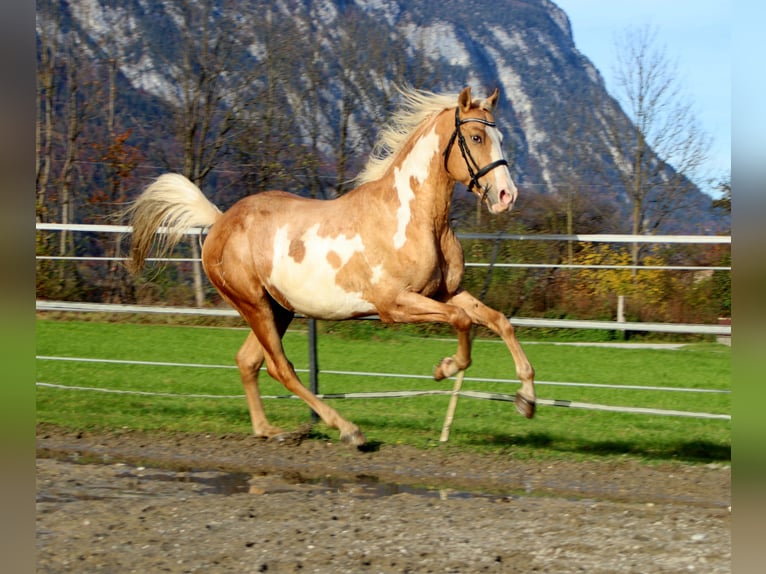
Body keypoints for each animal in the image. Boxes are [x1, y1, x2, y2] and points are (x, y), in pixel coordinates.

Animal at [126, 86, 536, 446]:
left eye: (500, 137)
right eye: (476, 136)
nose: (506, 196)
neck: (411, 218)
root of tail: (219, 221)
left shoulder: (445, 292)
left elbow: (499, 321)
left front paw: (526, 400)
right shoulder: (394, 305)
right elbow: (462, 321)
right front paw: (445, 367)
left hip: (278, 309)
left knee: (248, 361)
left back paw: (268, 431)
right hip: (253, 304)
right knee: (280, 367)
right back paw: (348, 430)